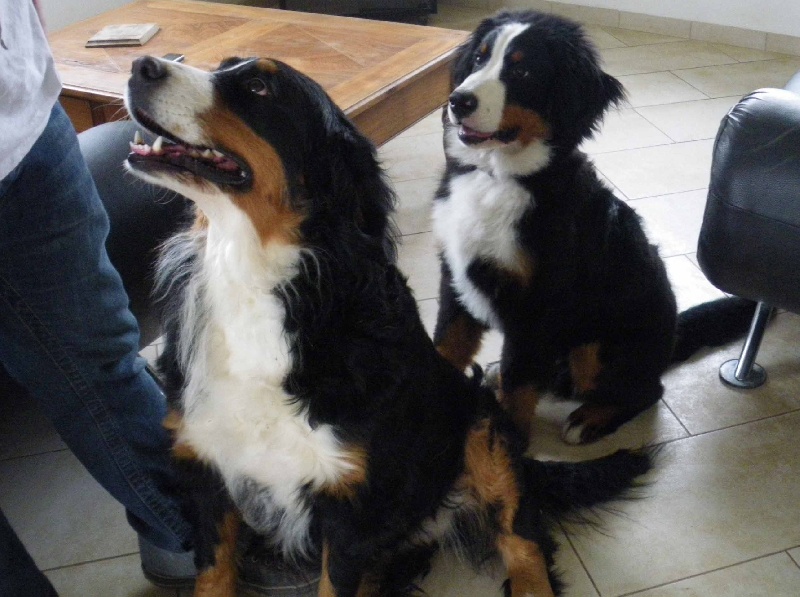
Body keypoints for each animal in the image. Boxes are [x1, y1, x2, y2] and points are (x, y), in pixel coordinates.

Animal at [124, 54, 652, 597]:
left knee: (523, 542)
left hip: (484, 428)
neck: (251, 278)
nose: (142, 66)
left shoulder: (349, 505)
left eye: (257, 87)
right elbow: (214, 574)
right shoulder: (207, 471)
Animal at [432, 10, 755, 446]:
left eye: (524, 71)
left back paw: (589, 419)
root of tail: (671, 336)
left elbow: (519, 383)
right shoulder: (455, 276)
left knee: (646, 390)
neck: (497, 178)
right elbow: (446, 346)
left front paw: (511, 444)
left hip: (596, 346)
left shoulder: (538, 307)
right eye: (480, 58)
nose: (458, 101)